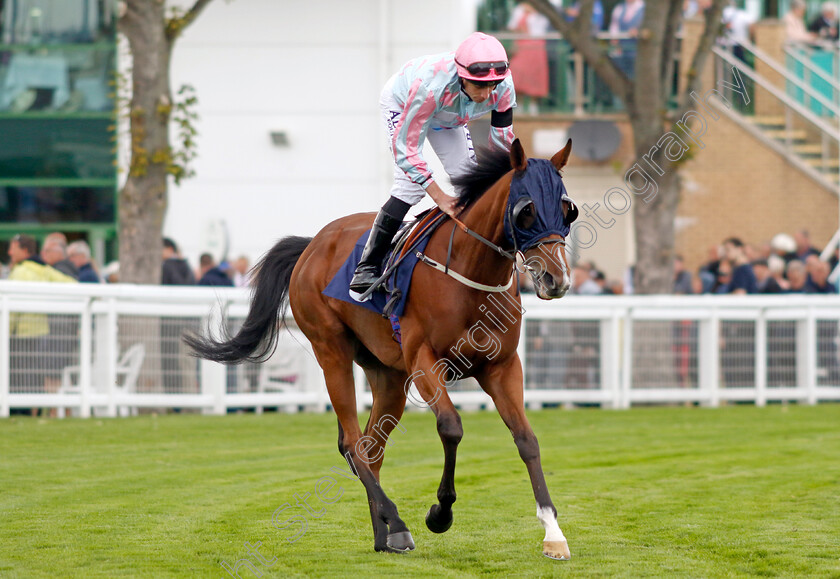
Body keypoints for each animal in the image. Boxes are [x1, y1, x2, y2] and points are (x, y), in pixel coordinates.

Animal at [185, 138, 576, 560]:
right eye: (527, 210)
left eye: (567, 209)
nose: (556, 279)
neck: (469, 272)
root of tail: (312, 244)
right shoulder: (424, 361)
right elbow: (451, 427)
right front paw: (440, 513)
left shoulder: (502, 366)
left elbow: (526, 438)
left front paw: (553, 532)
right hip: (331, 350)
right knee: (353, 443)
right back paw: (398, 524)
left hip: (387, 374)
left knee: (371, 447)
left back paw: (383, 534)